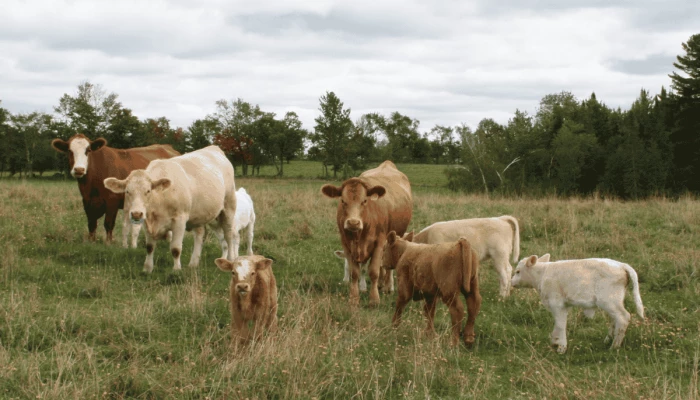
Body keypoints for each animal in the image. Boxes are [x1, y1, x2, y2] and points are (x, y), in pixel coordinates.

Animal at [51, 134, 179, 247]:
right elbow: (92, 224)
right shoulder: (87, 202)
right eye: (69, 151)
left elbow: (108, 223)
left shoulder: (112, 202)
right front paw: (91, 242)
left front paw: (108, 243)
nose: (79, 169)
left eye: (88, 150)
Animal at [103, 145, 238, 272]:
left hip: (229, 207)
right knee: (200, 235)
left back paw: (231, 260)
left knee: (229, 235)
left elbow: (175, 248)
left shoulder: (180, 220)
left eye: (148, 191)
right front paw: (147, 268)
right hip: (199, 214)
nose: (136, 214)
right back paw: (193, 263)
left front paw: (176, 270)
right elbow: (149, 247)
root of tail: (214, 148)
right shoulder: (147, 222)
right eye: (127, 191)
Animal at [321, 160, 413, 306]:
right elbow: (354, 272)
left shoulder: (379, 242)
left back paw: (388, 287)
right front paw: (353, 298)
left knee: (388, 267)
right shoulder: (346, 244)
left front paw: (374, 299)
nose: (353, 222)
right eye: (343, 201)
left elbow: (374, 271)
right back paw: (381, 284)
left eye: (364, 200)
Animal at [511, 254, 645, 354]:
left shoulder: (557, 303)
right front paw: (555, 341)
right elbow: (558, 324)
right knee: (615, 319)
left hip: (609, 300)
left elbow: (560, 324)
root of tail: (621, 265)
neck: (542, 275)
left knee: (623, 317)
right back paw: (608, 340)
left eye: (518, 271)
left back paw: (614, 346)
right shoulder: (563, 306)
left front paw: (561, 347)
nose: (511, 282)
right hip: (614, 301)